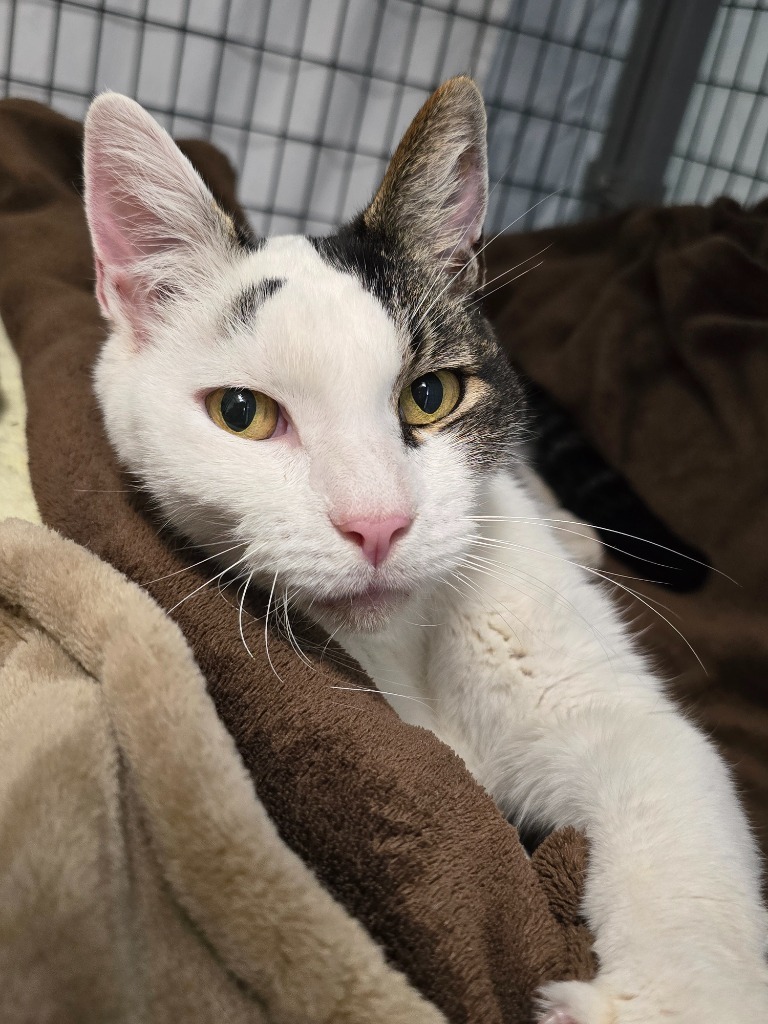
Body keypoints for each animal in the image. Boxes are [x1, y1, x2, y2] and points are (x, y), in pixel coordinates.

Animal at [83, 75, 768, 1019]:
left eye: (431, 395)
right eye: (241, 412)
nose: (378, 523)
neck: (405, 642)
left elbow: (668, 778)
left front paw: (670, 996)